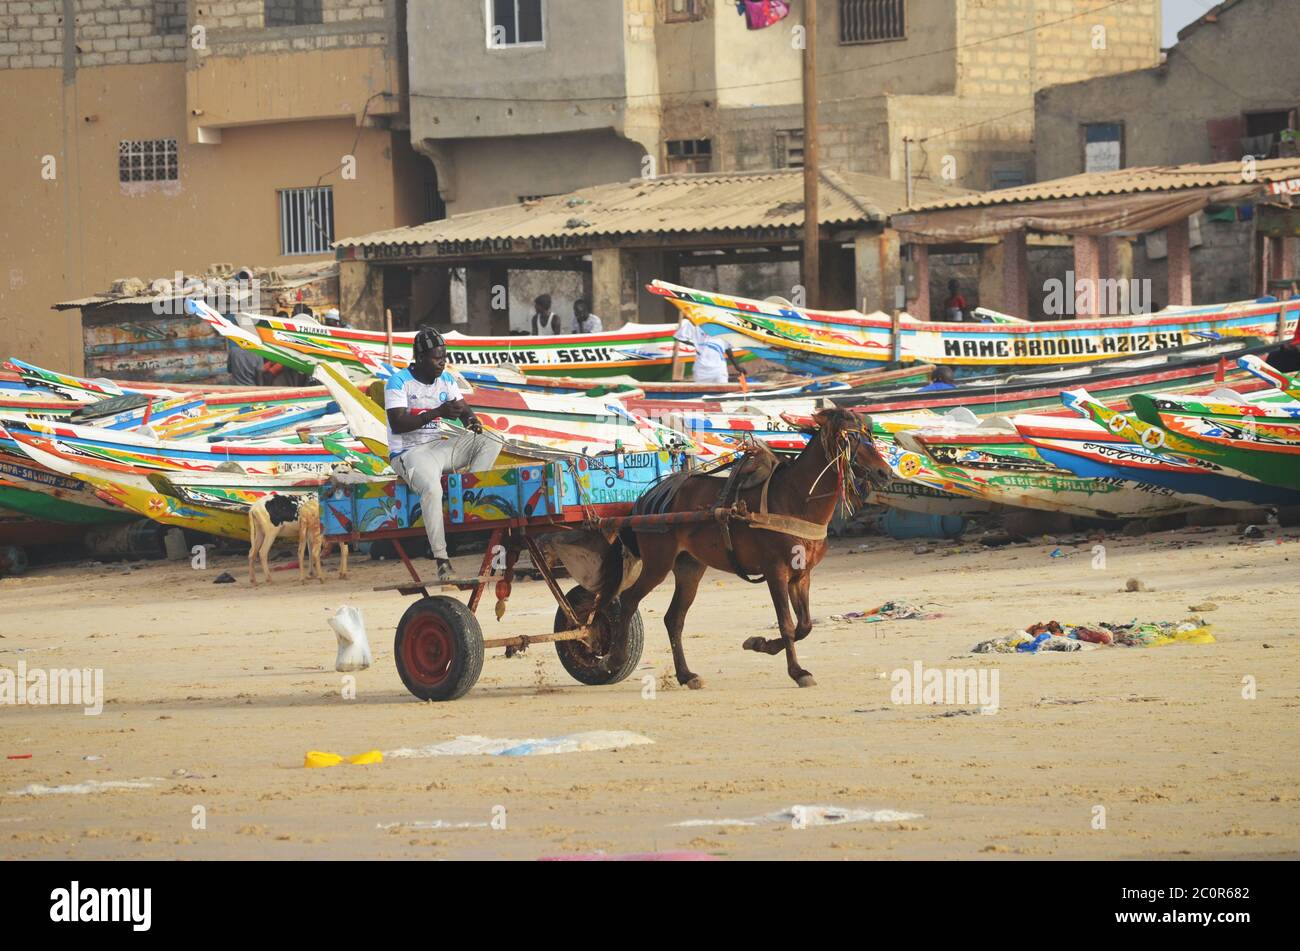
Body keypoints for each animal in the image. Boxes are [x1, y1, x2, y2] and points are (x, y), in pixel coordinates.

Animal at [598, 405, 894, 685]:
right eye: (850, 438)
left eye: (869, 435)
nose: (886, 472)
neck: (796, 500)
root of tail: (652, 494)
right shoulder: (775, 571)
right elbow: (787, 624)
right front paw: (797, 671)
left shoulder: (801, 575)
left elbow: (805, 625)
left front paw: (761, 644)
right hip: (658, 563)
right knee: (629, 600)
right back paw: (616, 658)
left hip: (690, 567)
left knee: (674, 619)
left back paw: (685, 674)